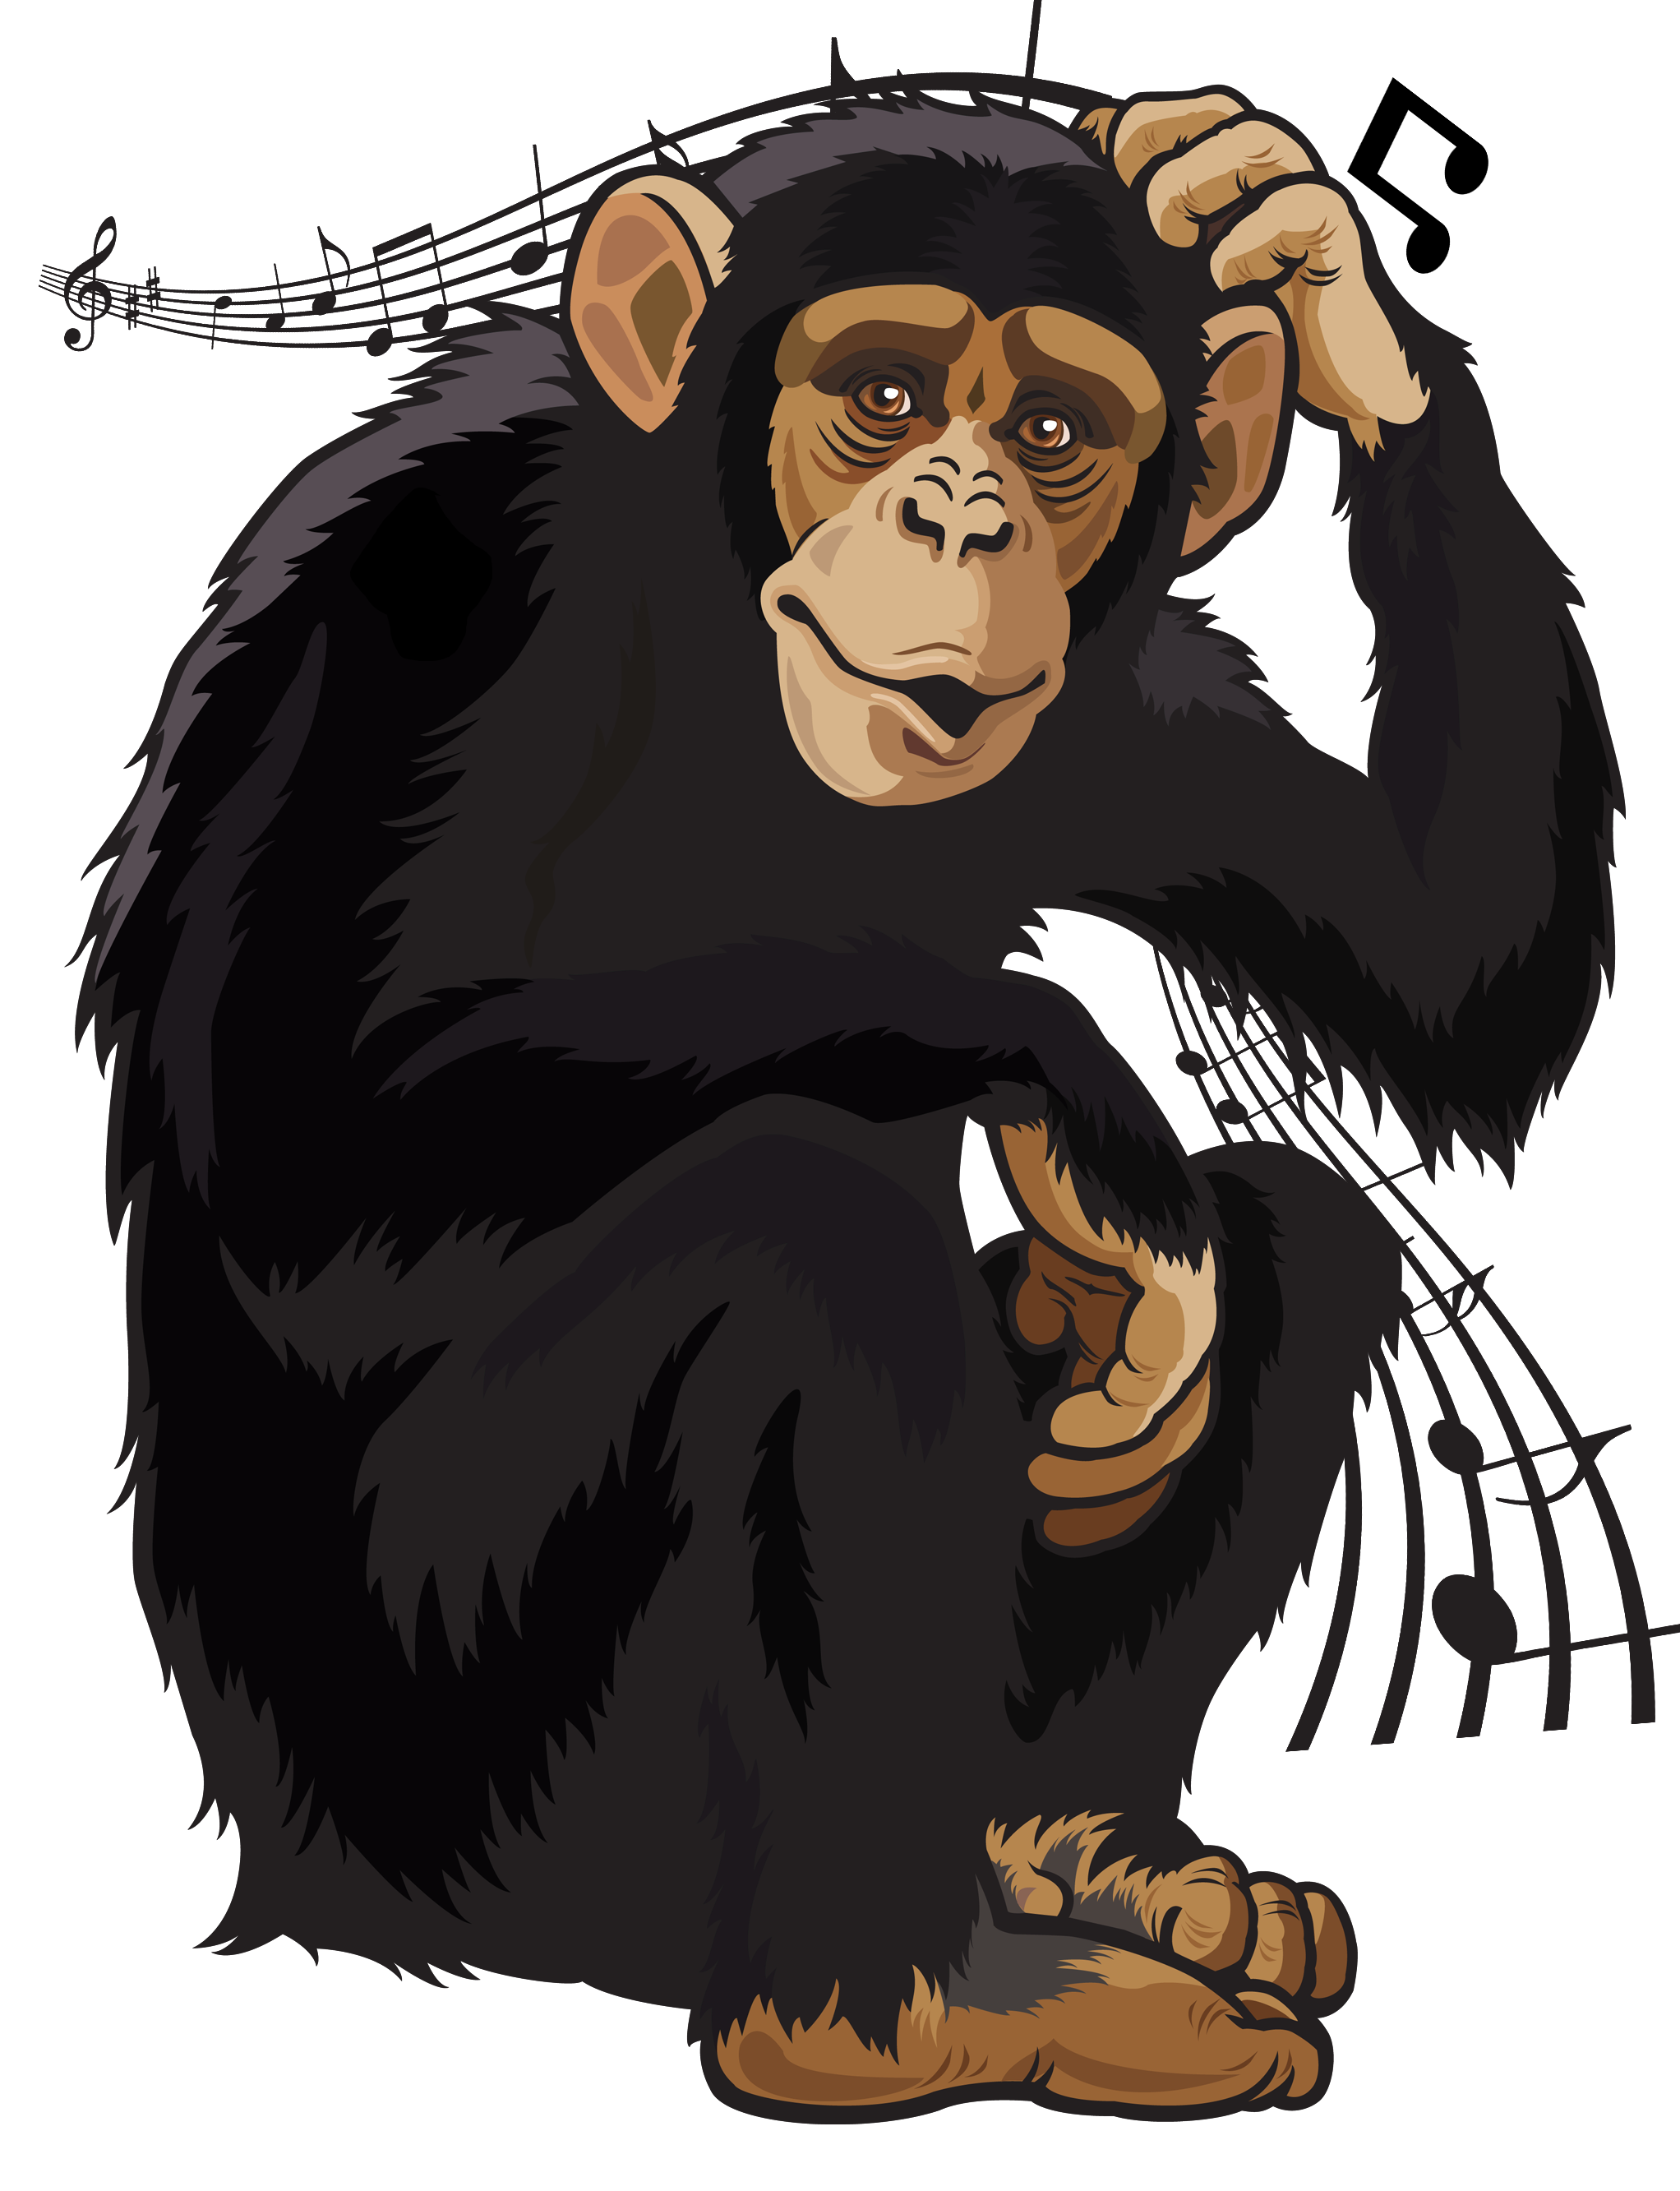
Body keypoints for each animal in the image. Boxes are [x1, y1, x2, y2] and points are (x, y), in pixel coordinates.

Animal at [84, 77, 1614, 2114]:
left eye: (1049, 431)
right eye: (881, 394)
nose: (958, 512)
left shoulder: (1164, 717)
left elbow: (1449, 967)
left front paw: (1288, 247)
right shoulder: (432, 592)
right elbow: (315, 1121)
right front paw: (1097, 1138)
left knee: (1293, 1190)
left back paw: (1090, 1867)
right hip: (443, 1774)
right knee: (815, 1230)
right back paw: (897, 2001)